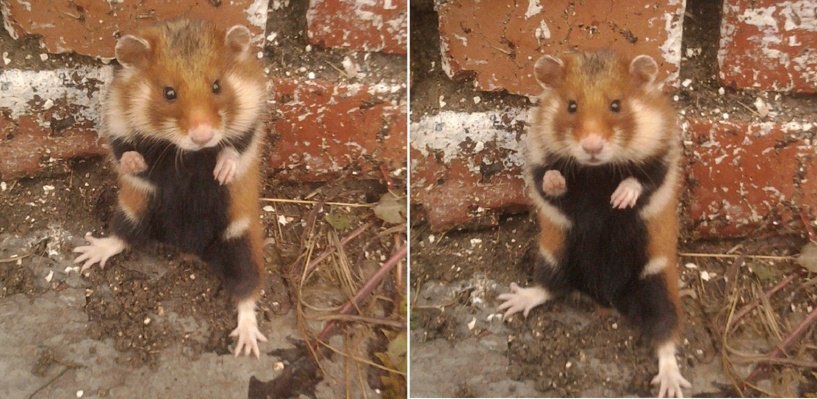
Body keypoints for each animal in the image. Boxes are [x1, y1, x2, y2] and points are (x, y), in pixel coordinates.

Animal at [71, 18, 266, 360]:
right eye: (169, 92)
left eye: (217, 86)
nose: (203, 136)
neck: (188, 154)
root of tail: (189, 248)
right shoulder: (117, 124)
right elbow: (125, 152)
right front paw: (136, 163)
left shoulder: (251, 123)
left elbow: (234, 148)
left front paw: (222, 172)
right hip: (134, 211)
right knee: (122, 237)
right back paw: (87, 254)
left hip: (240, 241)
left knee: (246, 291)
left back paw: (248, 344)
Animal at [498, 50, 688, 396]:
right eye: (571, 106)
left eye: (616, 105)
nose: (592, 147)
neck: (598, 171)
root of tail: (606, 298)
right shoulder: (539, 161)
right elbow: (548, 180)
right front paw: (559, 181)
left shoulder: (662, 162)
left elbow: (640, 181)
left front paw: (619, 199)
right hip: (555, 257)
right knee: (549, 287)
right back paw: (511, 302)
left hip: (656, 284)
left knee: (665, 334)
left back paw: (671, 385)